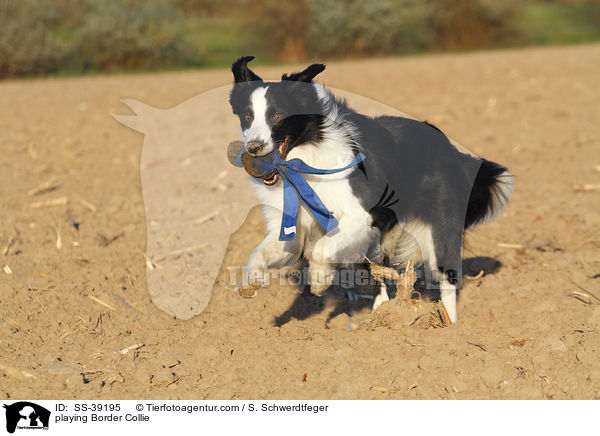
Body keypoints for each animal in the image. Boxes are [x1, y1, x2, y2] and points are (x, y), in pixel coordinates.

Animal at [229, 54, 510, 322]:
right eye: (247, 117)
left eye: (277, 116)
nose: (253, 148)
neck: (305, 160)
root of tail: (447, 144)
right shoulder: (293, 225)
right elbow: (260, 252)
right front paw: (252, 282)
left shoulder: (363, 214)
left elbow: (322, 249)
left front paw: (320, 279)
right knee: (380, 278)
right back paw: (377, 318)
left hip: (441, 224)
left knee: (446, 276)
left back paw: (449, 324)